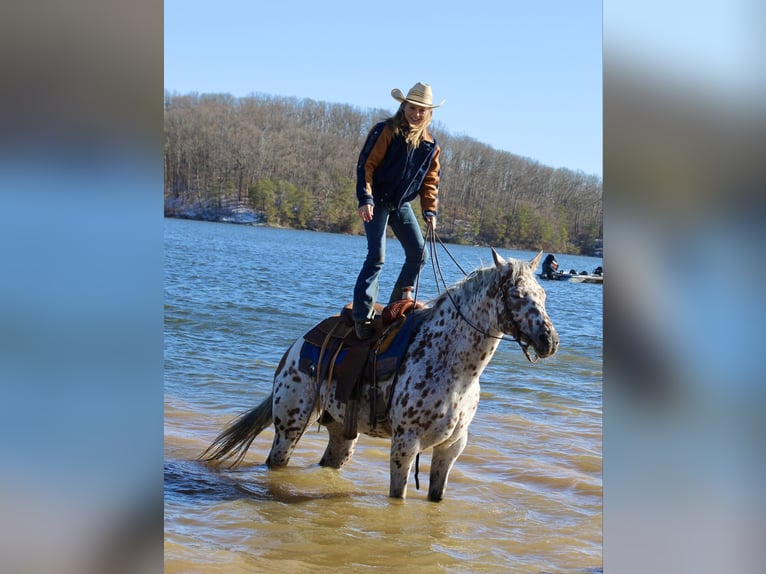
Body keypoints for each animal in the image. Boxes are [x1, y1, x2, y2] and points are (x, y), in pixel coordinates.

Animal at [201, 250, 560, 502]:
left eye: (542, 294)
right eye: (517, 295)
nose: (550, 341)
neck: (452, 366)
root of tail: (299, 343)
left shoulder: (451, 447)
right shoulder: (405, 444)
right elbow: (397, 498)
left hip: (342, 435)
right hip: (289, 427)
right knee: (276, 461)